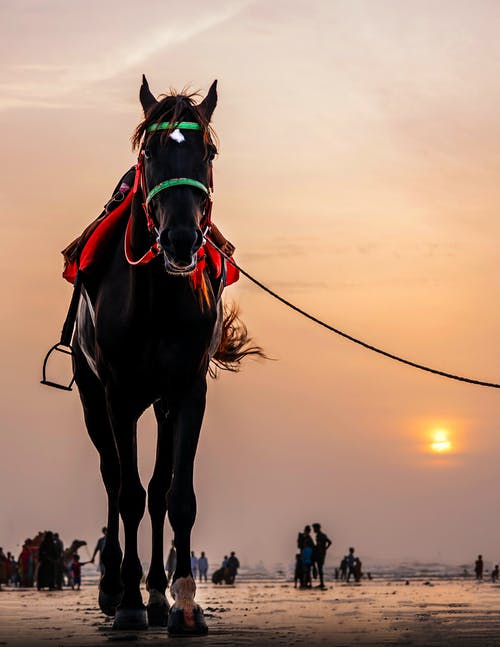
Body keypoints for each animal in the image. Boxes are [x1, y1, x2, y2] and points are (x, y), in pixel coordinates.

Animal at [74, 77, 264, 636]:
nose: (181, 239)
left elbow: (176, 497)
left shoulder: (185, 392)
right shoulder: (118, 395)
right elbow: (129, 493)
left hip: (159, 404)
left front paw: (182, 602)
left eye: (209, 152)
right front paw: (128, 602)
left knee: (157, 490)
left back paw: (157, 594)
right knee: (114, 480)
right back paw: (116, 590)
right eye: (149, 152)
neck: (157, 298)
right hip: (95, 400)